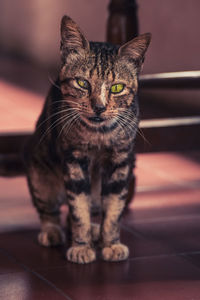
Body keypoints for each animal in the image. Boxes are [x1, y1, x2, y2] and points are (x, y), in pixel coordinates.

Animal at [24, 15, 151, 264]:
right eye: (82, 83)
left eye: (117, 87)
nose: (99, 107)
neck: (99, 133)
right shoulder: (74, 159)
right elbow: (78, 207)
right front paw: (81, 247)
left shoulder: (121, 161)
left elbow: (113, 208)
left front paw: (111, 244)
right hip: (40, 174)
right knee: (50, 210)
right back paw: (52, 231)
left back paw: (95, 231)